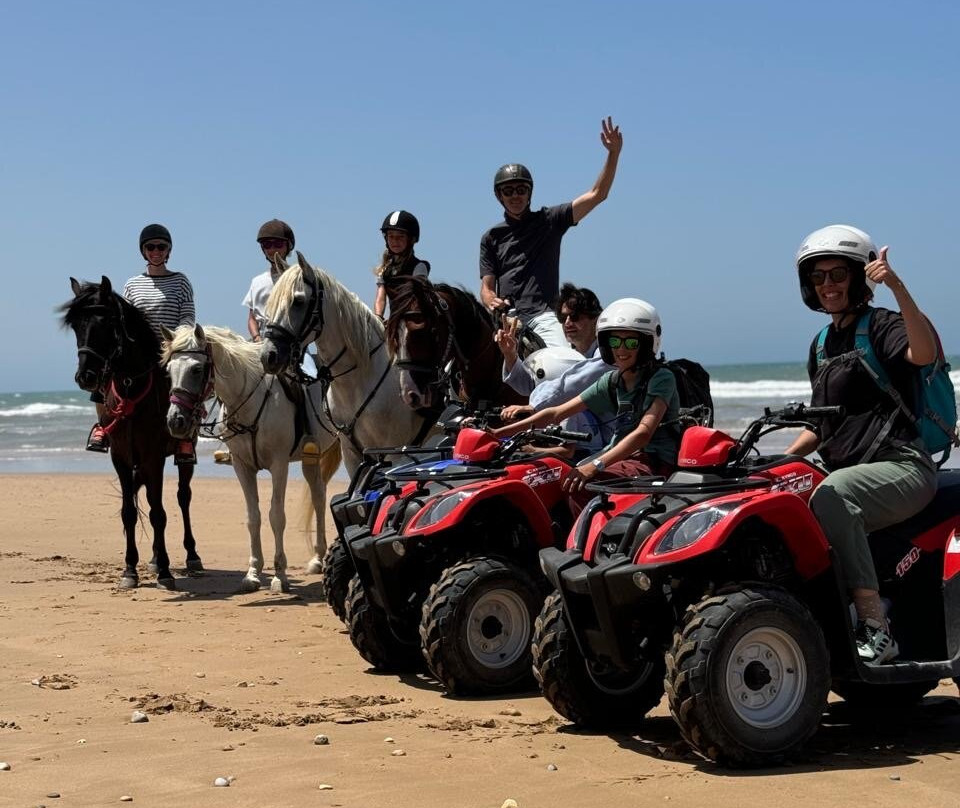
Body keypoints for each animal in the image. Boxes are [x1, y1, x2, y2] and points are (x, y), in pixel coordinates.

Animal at [58, 276, 202, 588]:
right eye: (76, 326)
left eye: (107, 322)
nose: (85, 377)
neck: (131, 388)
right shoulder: (122, 457)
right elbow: (129, 512)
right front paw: (130, 569)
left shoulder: (154, 456)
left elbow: (159, 513)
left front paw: (165, 572)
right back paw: (154, 558)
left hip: (182, 454)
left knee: (183, 497)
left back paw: (192, 557)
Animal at [164, 322, 342, 592]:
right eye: (169, 371)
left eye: (196, 369)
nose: (176, 421)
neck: (251, 401)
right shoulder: (242, 466)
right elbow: (253, 517)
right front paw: (253, 573)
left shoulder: (279, 465)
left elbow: (276, 516)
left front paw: (280, 576)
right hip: (311, 458)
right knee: (319, 496)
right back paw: (317, 560)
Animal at [256, 252, 434, 474]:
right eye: (271, 302)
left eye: (298, 301)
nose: (268, 356)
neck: (359, 380)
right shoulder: (352, 453)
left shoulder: (394, 451)